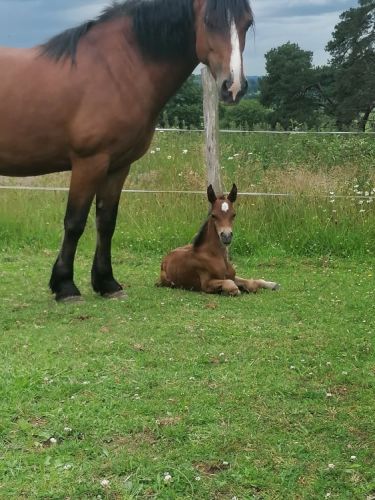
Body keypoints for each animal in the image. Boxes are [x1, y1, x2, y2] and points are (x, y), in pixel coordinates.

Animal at [0, 0, 256, 300]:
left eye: (247, 23)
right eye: (208, 21)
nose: (233, 87)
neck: (116, 70)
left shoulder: (118, 165)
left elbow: (106, 223)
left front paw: (106, 283)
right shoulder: (89, 163)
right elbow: (74, 223)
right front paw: (65, 286)